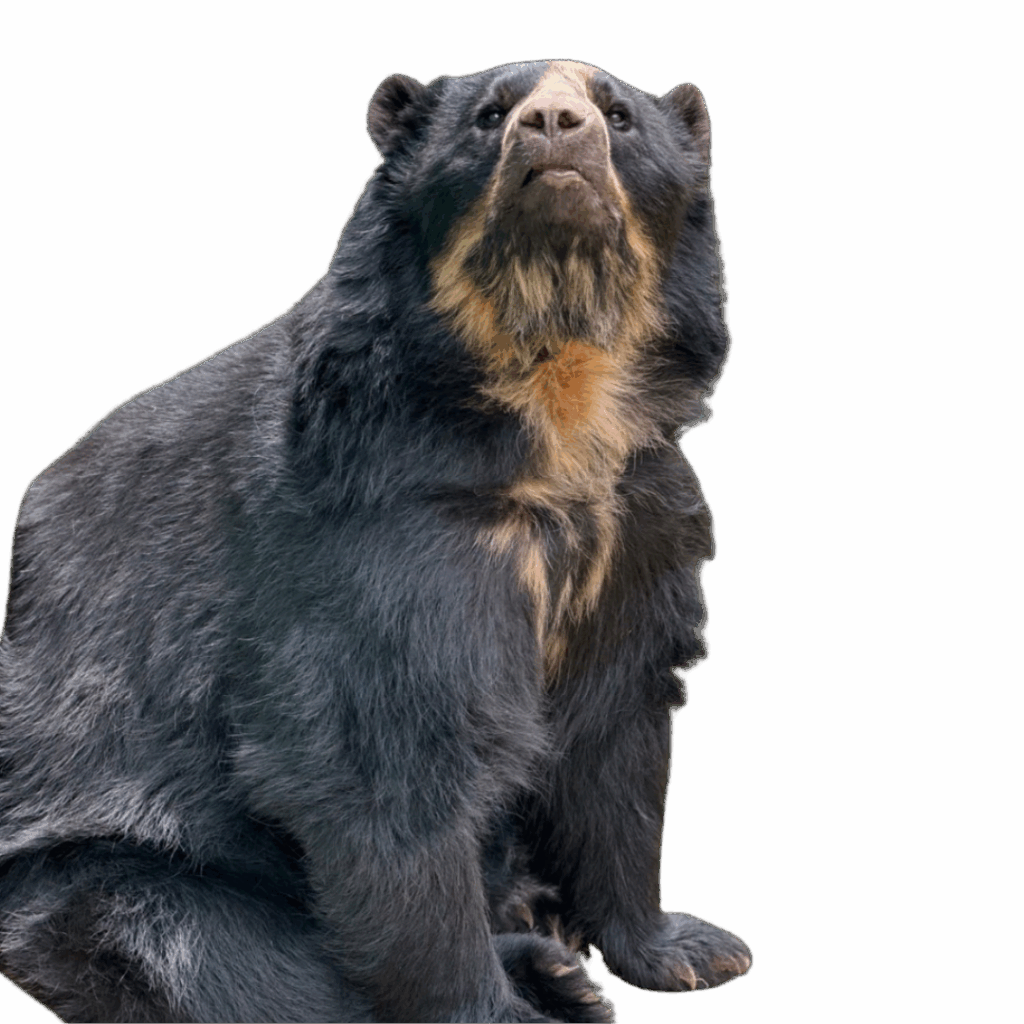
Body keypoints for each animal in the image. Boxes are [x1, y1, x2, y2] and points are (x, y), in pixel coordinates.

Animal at [0, 60, 749, 1023]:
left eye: (618, 116)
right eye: (490, 116)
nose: (554, 124)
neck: (550, 401)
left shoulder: (636, 527)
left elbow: (615, 734)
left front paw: (686, 950)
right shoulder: (376, 537)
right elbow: (382, 755)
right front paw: (493, 1009)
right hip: (97, 862)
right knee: (227, 958)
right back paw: (546, 974)